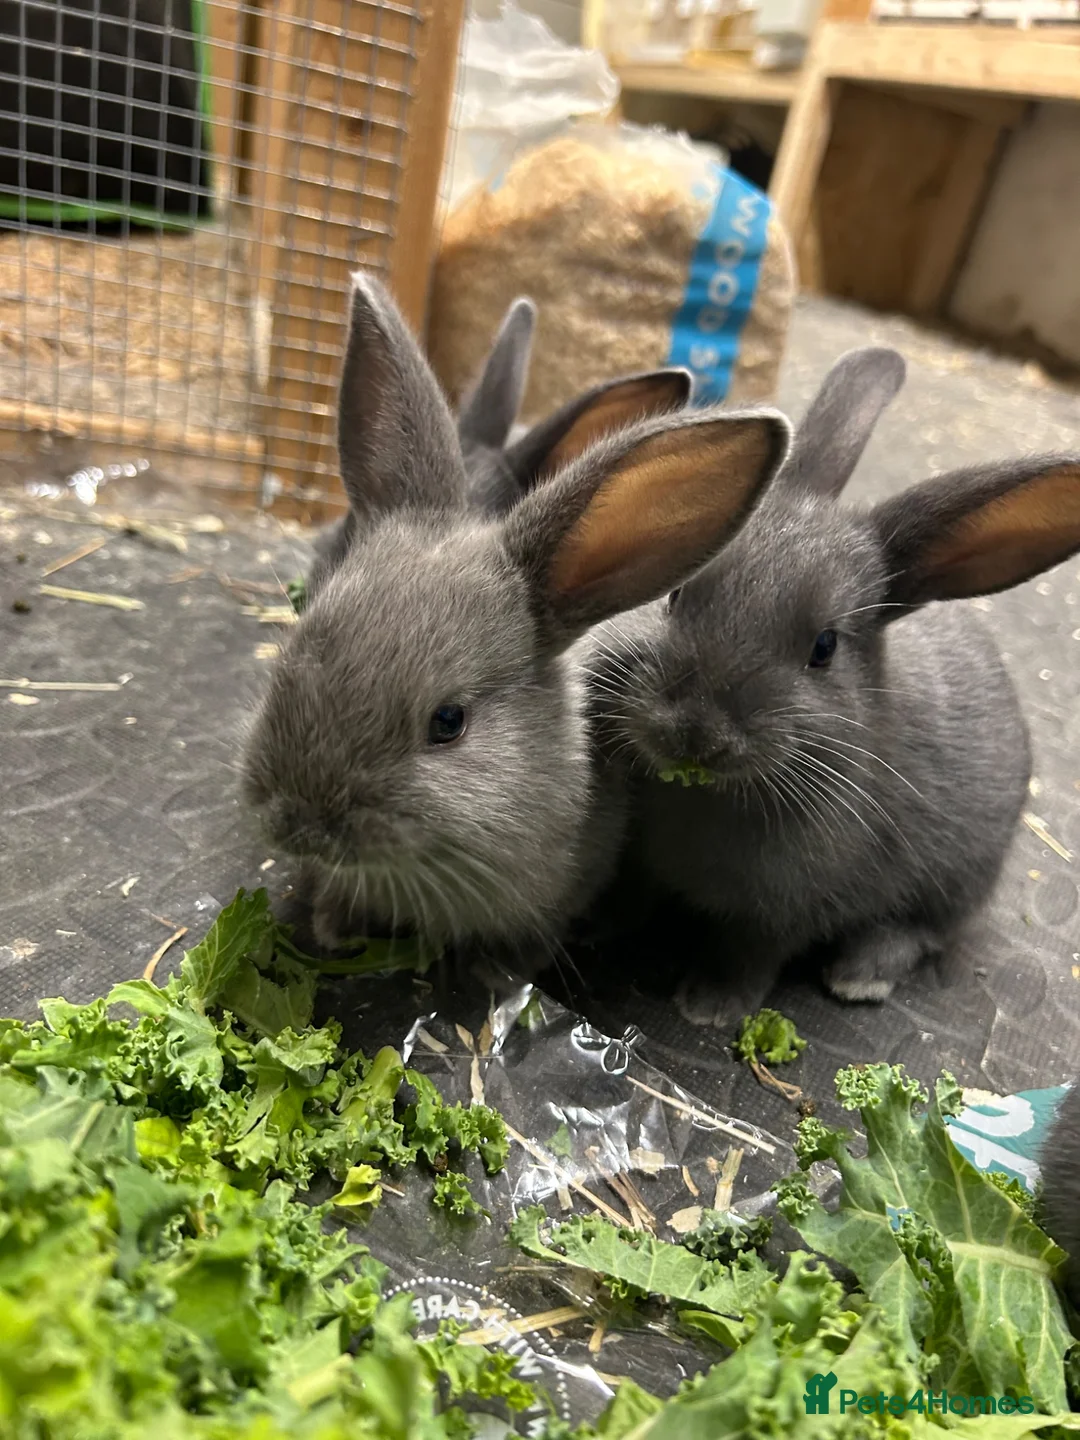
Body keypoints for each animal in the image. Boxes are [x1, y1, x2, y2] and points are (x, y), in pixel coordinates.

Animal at [585, 344, 1080, 1018]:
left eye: (824, 648)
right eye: (677, 593)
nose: (695, 733)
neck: (711, 795)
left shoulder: (783, 914)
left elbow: (748, 957)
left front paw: (710, 1006)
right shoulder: (643, 865)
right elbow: (629, 896)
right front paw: (594, 927)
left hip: (958, 881)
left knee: (918, 931)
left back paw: (858, 977)